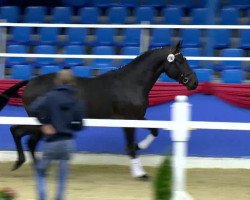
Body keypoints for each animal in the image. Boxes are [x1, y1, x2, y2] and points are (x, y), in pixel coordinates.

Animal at [0, 41, 199, 179]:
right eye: (180, 60)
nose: (194, 82)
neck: (130, 83)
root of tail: (31, 82)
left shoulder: (137, 117)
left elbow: (154, 131)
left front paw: (139, 146)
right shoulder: (128, 120)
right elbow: (130, 147)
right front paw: (140, 174)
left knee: (29, 141)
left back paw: (39, 170)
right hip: (41, 122)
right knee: (17, 131)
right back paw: (21, 163)